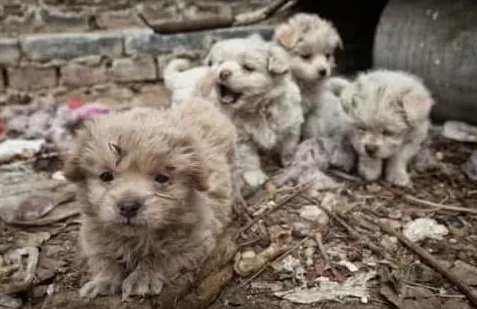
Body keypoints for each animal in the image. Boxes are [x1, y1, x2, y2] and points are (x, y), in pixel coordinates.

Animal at [63, 94, 236, 298]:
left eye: (161, 178)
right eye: (106, 176)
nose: (128, 207)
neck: (136, 237)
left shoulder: (194, 242)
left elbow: (160, 256)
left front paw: (142, 278)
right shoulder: (94, 237)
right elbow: (104, 258)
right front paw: (102, 281)